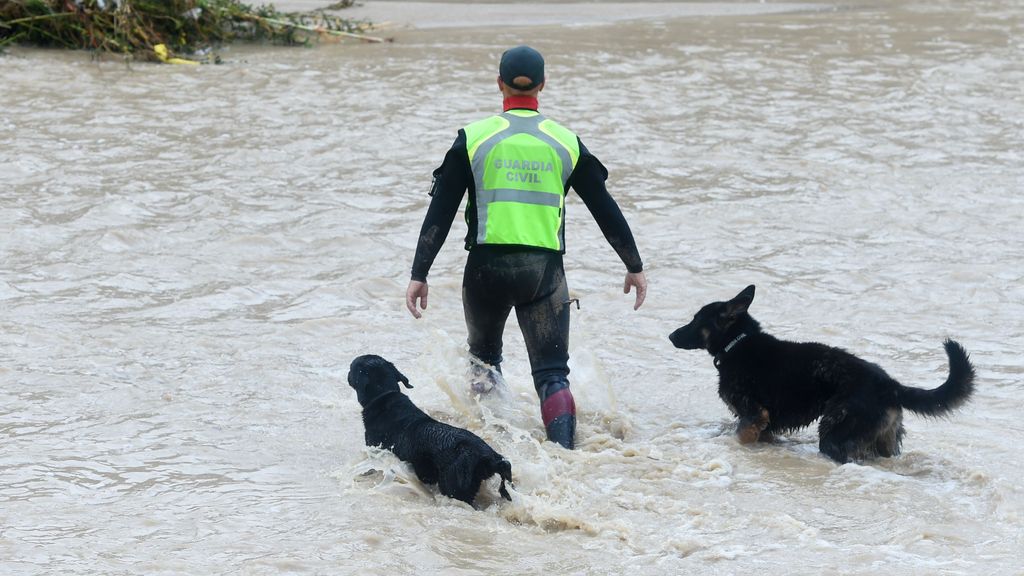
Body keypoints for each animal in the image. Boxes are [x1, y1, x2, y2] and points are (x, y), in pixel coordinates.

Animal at [671, 284, 974, 463]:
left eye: (696, 320)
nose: (671, 336)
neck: (737, 343)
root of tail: (890, 384)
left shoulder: (754, 416)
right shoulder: (764, 426)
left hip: (835, 435)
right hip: (883, 442)